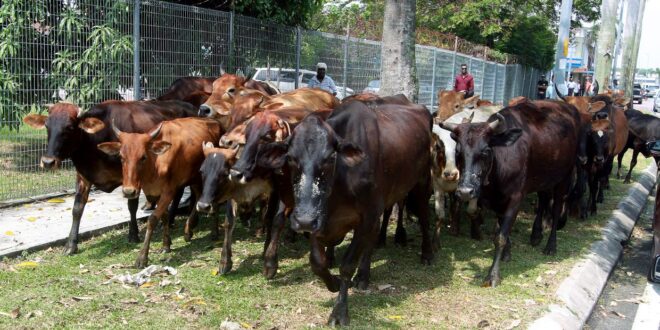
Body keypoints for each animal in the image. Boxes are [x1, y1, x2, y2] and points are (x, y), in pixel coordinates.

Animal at [23, 100, 199, 253]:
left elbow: (131, 205)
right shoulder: (83, 176)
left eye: (70, 127)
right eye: (47, 126)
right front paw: (71, 245)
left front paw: (133, 234)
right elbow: (77, 209)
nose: (48, 162)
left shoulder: (130, 177)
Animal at [96, 117, 222, 266]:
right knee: (197, 196)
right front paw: (166, 244)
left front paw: (142, 257)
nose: (129, 192)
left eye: (143, 157)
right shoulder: (155, 193)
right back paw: (189, 230)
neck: (155, 165)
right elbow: (164, 216)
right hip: (194, 179)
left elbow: (152, 219)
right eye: (121, 157)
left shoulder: (169, 192)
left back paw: (214, 232)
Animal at [256, 95, 434, 324]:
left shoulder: (365, 216)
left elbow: (347, 264)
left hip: (421, 183)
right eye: (291, 158)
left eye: (330, 158)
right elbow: (317, 262)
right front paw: (333, 282)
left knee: (424, 218)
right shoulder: (319, 219)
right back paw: (364, 275)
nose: (303, 220)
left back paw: (427, 253)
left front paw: (339, 311)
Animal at [440, 98, 580, 286]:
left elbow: (500, 236)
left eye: (486, 150)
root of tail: (566, 106)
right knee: (543, 199)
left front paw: (493, 275)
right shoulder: (496, 200)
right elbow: (500, 230)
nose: (465, 191)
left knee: (557, 208)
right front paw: (507, 253)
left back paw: (551, 246)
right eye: (458, 152)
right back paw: (536, 235)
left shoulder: (515, 198)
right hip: (543, 178)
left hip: (564, 176)